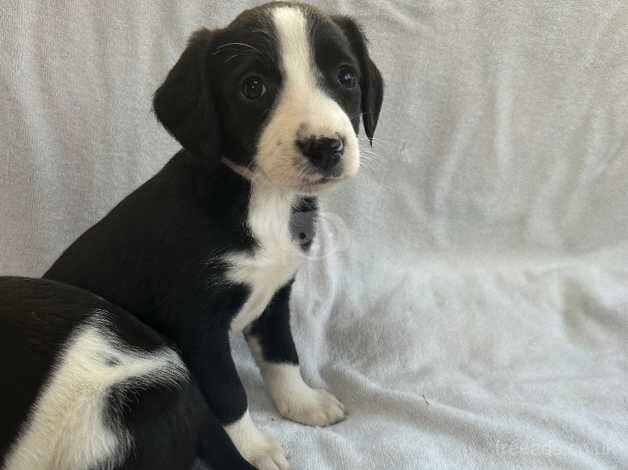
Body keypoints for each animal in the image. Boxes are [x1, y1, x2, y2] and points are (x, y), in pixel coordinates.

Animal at [39, 1, 382, 468]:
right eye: (252, 87)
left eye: (346, 77)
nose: (325, 146)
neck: (264, 198)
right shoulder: (198, 326)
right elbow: (227, 395)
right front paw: (250, 450)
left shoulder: (275, 298)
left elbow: (282, 355)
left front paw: (302, 403)